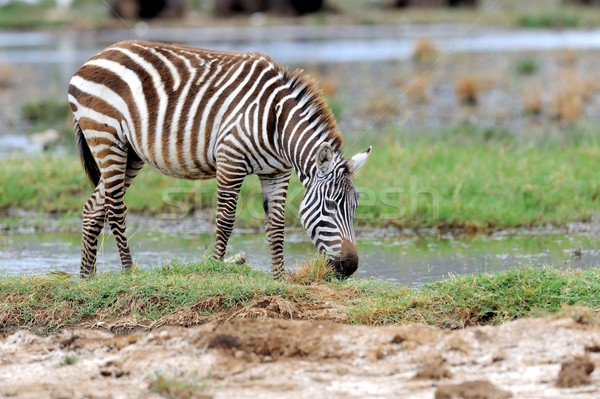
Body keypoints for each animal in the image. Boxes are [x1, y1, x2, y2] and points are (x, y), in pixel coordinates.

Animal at [69, 39, 370, 278]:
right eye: (330, 205)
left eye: (355, 207)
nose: (351, 267)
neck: (277, 124)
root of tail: (97, 55)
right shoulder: (230, 160)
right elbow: (225, 220)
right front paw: (213, 268)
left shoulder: (277, 172)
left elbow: (276, 226)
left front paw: (279, 279)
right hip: (107, 139)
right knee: (115, 208)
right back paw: (129, 270)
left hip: (130, 154)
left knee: (94, 208)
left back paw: (87, 279)